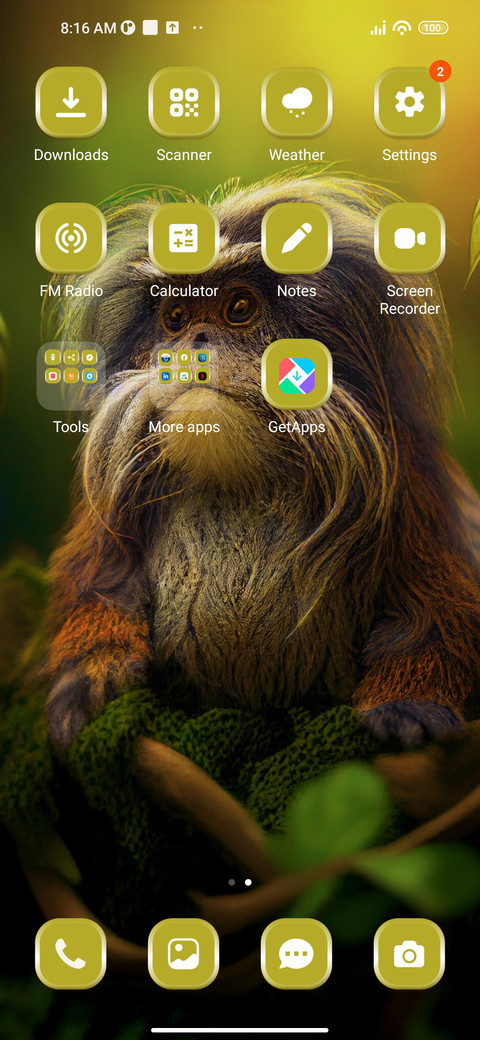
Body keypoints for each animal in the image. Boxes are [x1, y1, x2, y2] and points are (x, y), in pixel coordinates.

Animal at [41, 173, 480, 751]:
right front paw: (92, 672)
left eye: (239, 308)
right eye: (175, 318)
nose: (193, 343)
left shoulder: (413, 486)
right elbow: (105, 586)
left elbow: (432, 617)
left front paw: (409, 702)